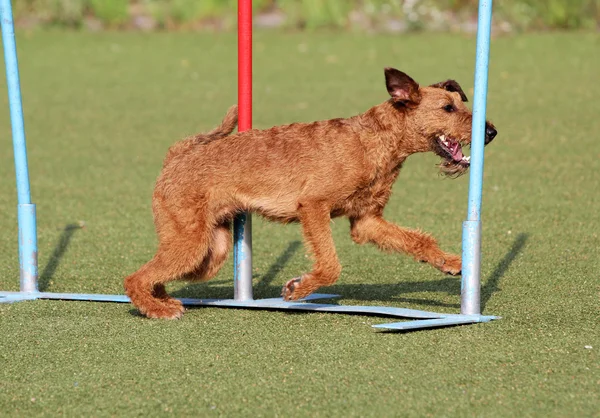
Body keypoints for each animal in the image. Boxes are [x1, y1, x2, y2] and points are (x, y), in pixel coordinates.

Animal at [123, 68, 496, 320]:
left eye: (461, 103)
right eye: (448, 108)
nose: (491, 132)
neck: (375, 141)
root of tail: (176, 156)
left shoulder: (367, 221)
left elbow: (416, 240)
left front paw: (450, 262)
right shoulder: (314, 205)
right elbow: (330, 265)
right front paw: (298, 289)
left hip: (211, 251)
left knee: (158, 274)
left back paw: (163, 300)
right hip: (191, 242)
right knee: (135, 277)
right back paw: (157, 309)